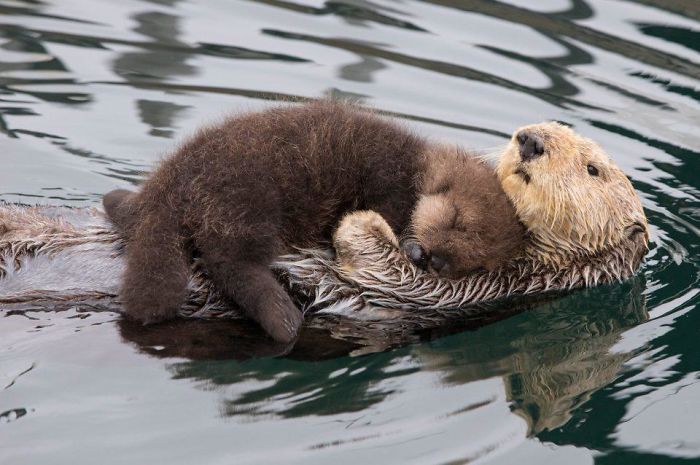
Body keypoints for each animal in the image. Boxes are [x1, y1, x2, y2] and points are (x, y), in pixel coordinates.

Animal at [102, 101, 525, 343]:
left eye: (473, 262)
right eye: (456, 221)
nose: (434, 260)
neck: (417, 168)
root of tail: (171, 187)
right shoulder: (390, 183)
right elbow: (393, 211)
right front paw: (410, 245)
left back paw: (116, 202)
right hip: (247, 200)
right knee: (231, 261)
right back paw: (283, 319)